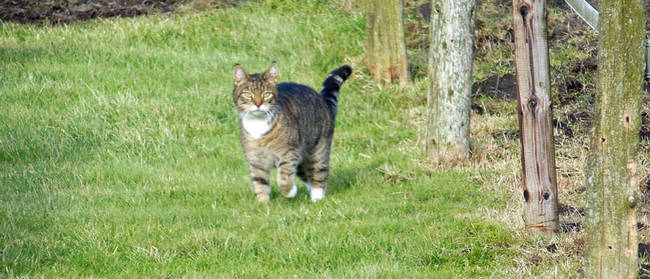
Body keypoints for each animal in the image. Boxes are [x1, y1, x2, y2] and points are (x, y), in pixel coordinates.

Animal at [232, 62, 350, 202]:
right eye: (248, 95)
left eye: (266, 94)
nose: (258, 104)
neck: (258, 125)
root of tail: (323, 99)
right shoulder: (256, 161)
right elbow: (259, 183)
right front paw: (263, 204)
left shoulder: (289, 153)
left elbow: (283, 176)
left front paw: (289, 192)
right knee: (306, 175)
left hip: (318, 150)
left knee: (318, 172)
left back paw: (317, 197)